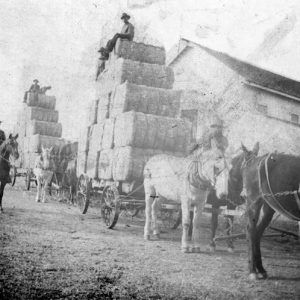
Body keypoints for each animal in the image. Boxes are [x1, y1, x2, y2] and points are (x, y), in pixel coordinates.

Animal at [230, 142, 300, 278]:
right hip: (254, 201)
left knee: (258, 231)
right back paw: (253, 270)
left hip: (268, 205)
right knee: (251, 230)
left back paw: (260, 269)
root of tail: (253, 160)